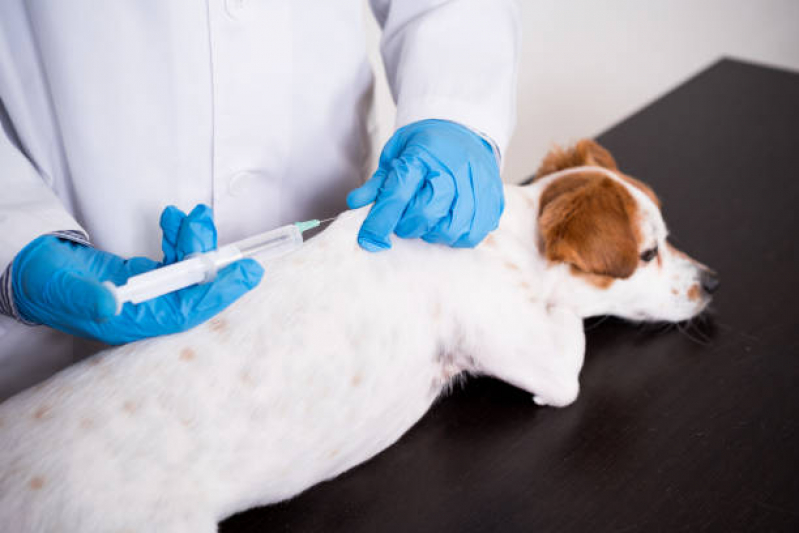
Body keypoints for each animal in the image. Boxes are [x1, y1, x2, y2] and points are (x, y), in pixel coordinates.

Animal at [0, 139, 720, 528]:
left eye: (667, 237)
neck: (514, 237)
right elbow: (569, 334)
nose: (712, 281)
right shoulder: (544, 363)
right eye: (647, 253)